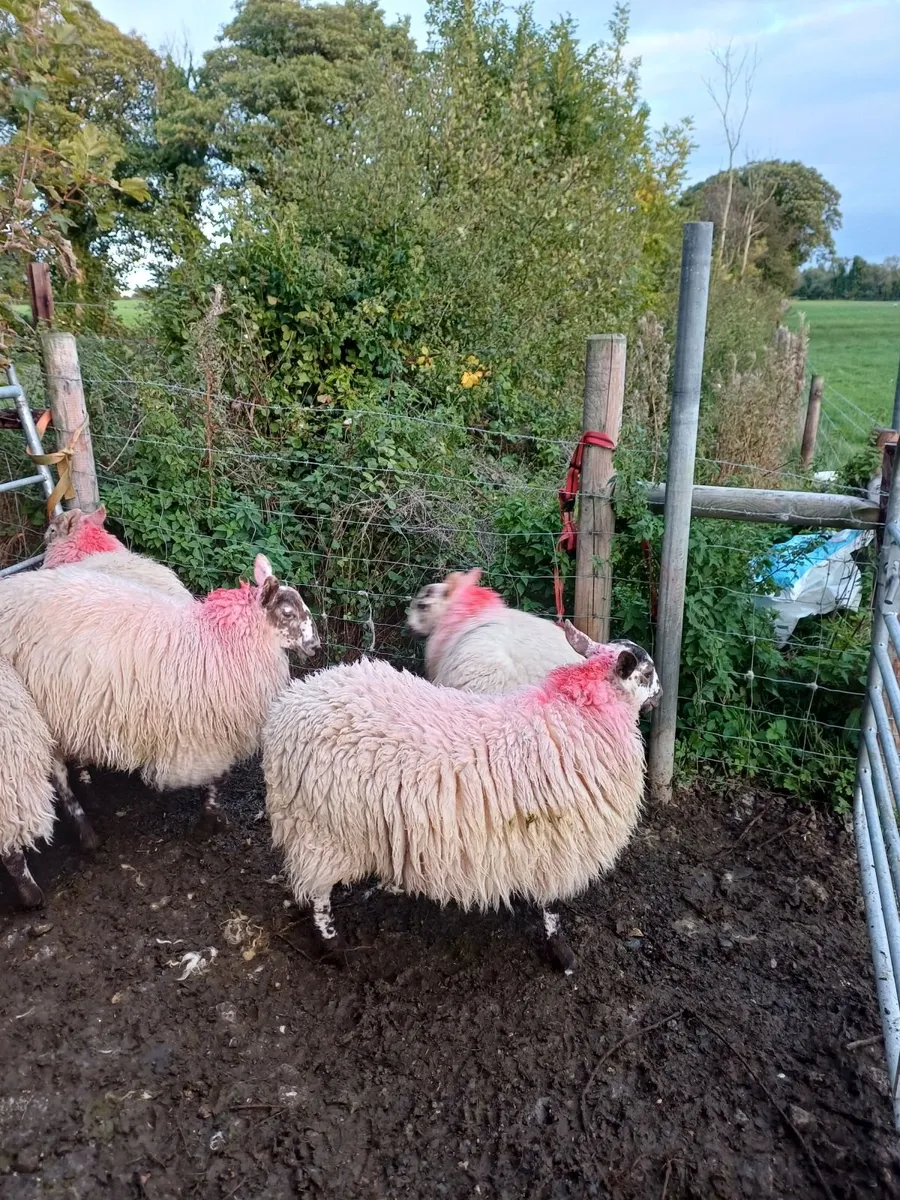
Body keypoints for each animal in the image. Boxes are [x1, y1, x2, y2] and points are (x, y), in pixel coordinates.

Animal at [0, 554, 320, 842]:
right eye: (288, 613)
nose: (316, 646)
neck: (219, 639)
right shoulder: (208, 734)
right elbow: (220, 777)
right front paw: (209, 820)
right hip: (41, 712)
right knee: (57, 772)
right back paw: (85, 831)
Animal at [263, 620, 660, 973]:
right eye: (647, 672)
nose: (659, 695)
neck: (579, 715)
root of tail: (289, 705)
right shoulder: (559, 844)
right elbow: (553, 907)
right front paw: (562, 956)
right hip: (321, 830)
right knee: (318, 894)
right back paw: (335, 948)